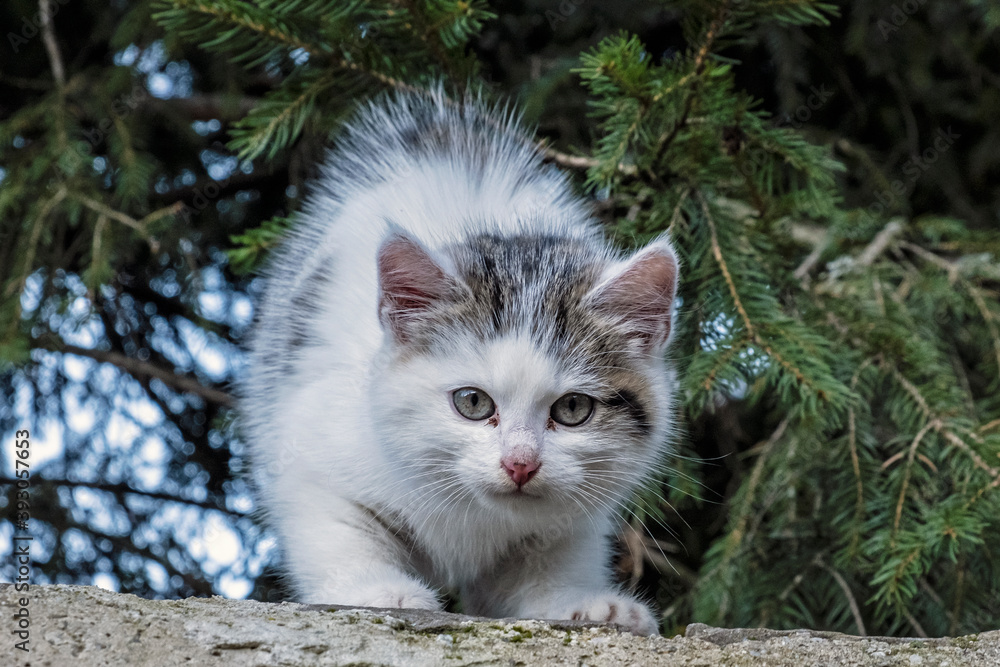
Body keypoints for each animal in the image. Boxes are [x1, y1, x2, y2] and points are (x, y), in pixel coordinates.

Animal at [242, 87, 680, 636]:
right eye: (472, 402)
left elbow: (547, 563)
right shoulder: (313, 443)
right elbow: (339, 528)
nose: (520, 464)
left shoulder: (572, 517)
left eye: (573, 409)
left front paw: (577, 602)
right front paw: (378, 592)